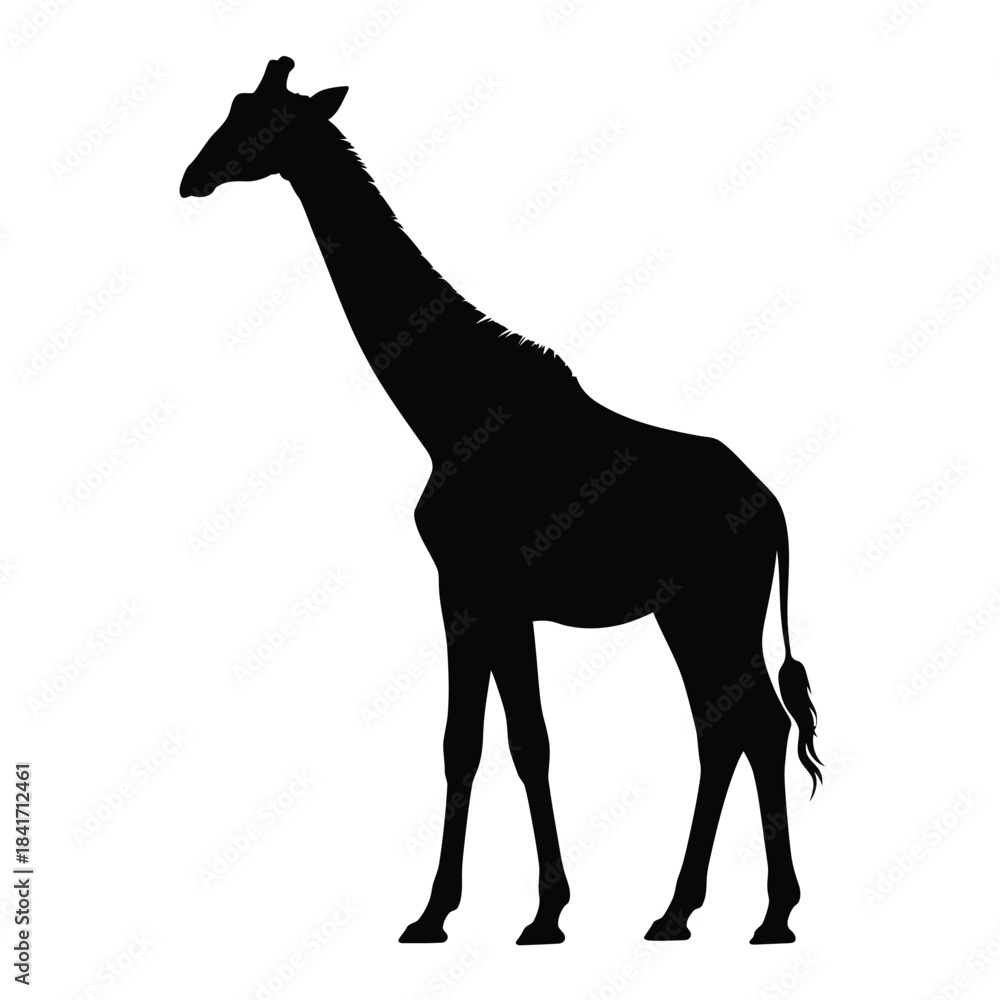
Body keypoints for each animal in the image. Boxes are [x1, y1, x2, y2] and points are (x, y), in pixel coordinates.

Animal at [180, 57, 822, 947]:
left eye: (259, 120)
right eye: (234, 106)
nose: (191, 177)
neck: (447, 411)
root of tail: (774, 507)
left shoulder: (476, 589)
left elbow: (502, 742)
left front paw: (504, 913)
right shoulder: (488, 599)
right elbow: (491, 742)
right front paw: (488, 910)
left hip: (715, 607)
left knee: (754, 724)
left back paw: (766, 916)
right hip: (687, 612)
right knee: (731, 727)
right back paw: (685, 912)